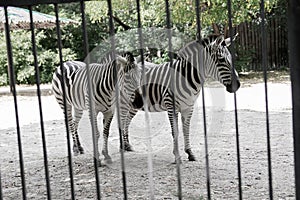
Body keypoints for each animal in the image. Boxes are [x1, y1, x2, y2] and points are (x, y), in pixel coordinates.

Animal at [118, 34, 240, 162]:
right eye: (221, 60)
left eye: (231, 58)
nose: (237, 85)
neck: (186, 78)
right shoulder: (172, 106)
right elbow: (175, 131)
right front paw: (177, 156)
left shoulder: (188, 107)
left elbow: (186, 130)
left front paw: (190, 153)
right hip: (124, 101)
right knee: (121, 120)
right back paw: (122, 146)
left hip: (134, 104)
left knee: (127, 120)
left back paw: (127, 145)